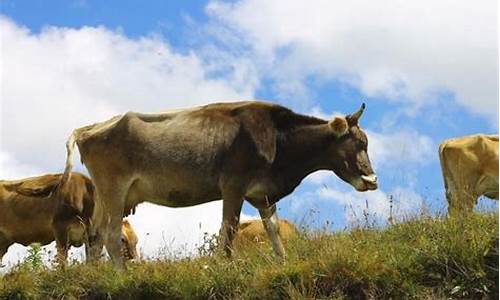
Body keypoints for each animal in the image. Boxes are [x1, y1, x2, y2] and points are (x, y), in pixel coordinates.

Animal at [0, 172, 138, 266]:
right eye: (123, 239)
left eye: (136, 240)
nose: (135, 262)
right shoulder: (60, 227)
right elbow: (63, 260)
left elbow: (91, 261)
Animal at [60, 101, 376, 268]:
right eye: (357, 144)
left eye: (366, 143)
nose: (372, 180)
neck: (277, 138)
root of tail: (89, 128)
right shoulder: (233, 186)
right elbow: (229, 229)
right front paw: (225, 265)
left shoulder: (262, 194)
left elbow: (273, 230)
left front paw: (283, 262)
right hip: (114, 188)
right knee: (112, 235)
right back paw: (122, 273)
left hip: (106, 196)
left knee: (95, 236)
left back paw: (97, 274)